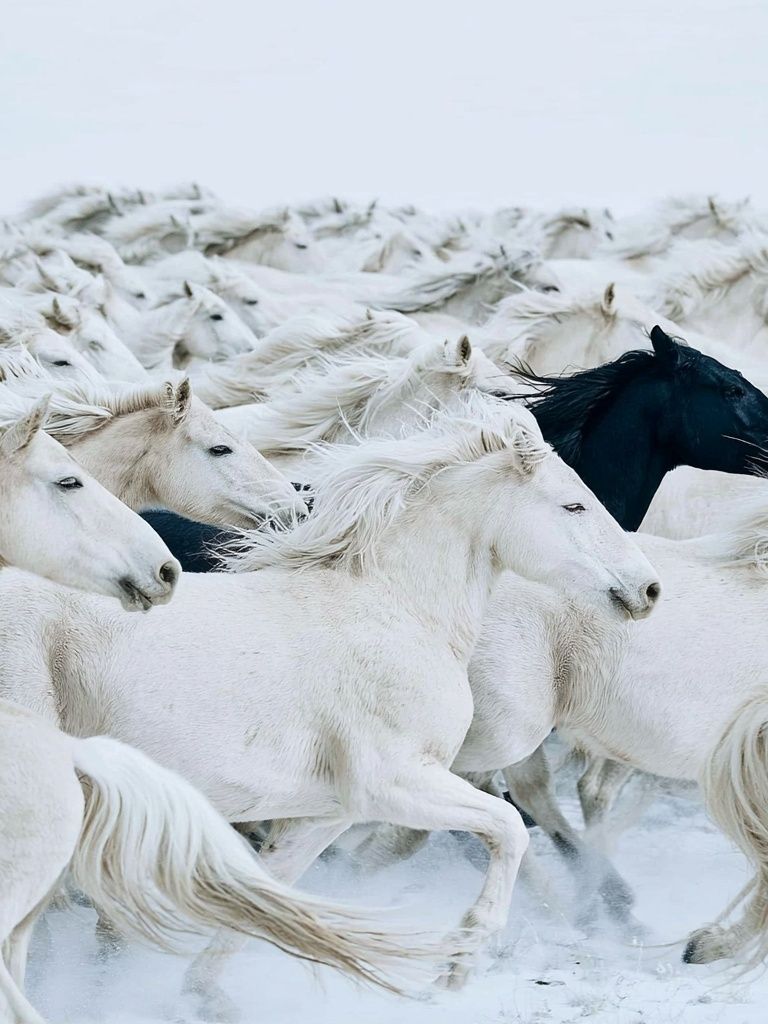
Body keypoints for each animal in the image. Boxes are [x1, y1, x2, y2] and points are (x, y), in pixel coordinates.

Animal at [0, 399, 659, 1015]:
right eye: (574, 506)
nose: (649, 589)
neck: (398, 609)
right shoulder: (394, 783)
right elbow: (508, 829)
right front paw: (459, 964)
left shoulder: (327, 813)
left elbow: (267, 895)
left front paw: (204, 995)